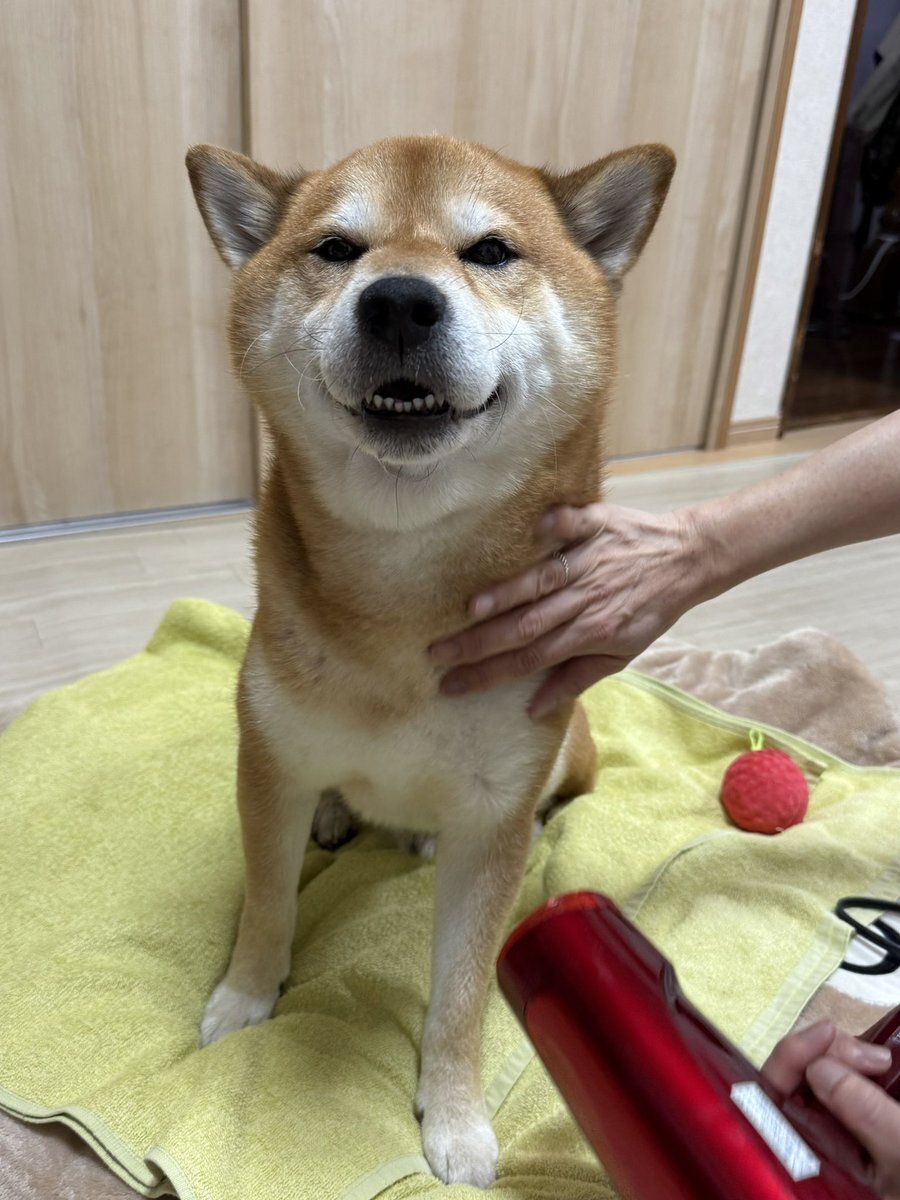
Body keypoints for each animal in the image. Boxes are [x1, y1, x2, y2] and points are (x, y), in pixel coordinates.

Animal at [186, 133, 674, 1187]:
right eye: (337, 249)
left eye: (490, 252)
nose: (400, 300)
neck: (403, 602)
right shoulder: (269, 764)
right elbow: (266, 908)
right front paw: (245, 1000)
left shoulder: (490, 827)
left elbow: (462, 994)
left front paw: (455, 1120)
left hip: (568, 752)